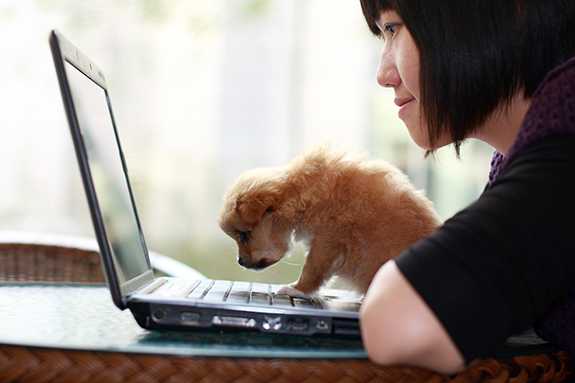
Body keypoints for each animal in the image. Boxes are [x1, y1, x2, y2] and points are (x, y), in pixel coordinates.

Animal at [220, 148, 440, 296]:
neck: (304, 192)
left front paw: (297, 289)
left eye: (244, 235)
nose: (239, 261)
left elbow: (312, 270)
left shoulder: (327, 240)